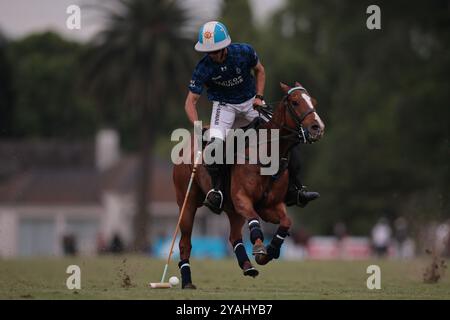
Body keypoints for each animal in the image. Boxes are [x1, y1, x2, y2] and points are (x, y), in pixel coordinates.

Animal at [172, 81, 324, 288]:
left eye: (313, 101)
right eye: (295, 102)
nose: (318, 127)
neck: (268, 153)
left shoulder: (270, 206)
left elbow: (286, 222)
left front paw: (271, 251)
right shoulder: (242, 199)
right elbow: (254, 220)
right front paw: (260, 248)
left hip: (232, 210)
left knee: (234, 237)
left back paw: (248, 266)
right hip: (187, 202)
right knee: (185, 242)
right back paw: (187, 281)